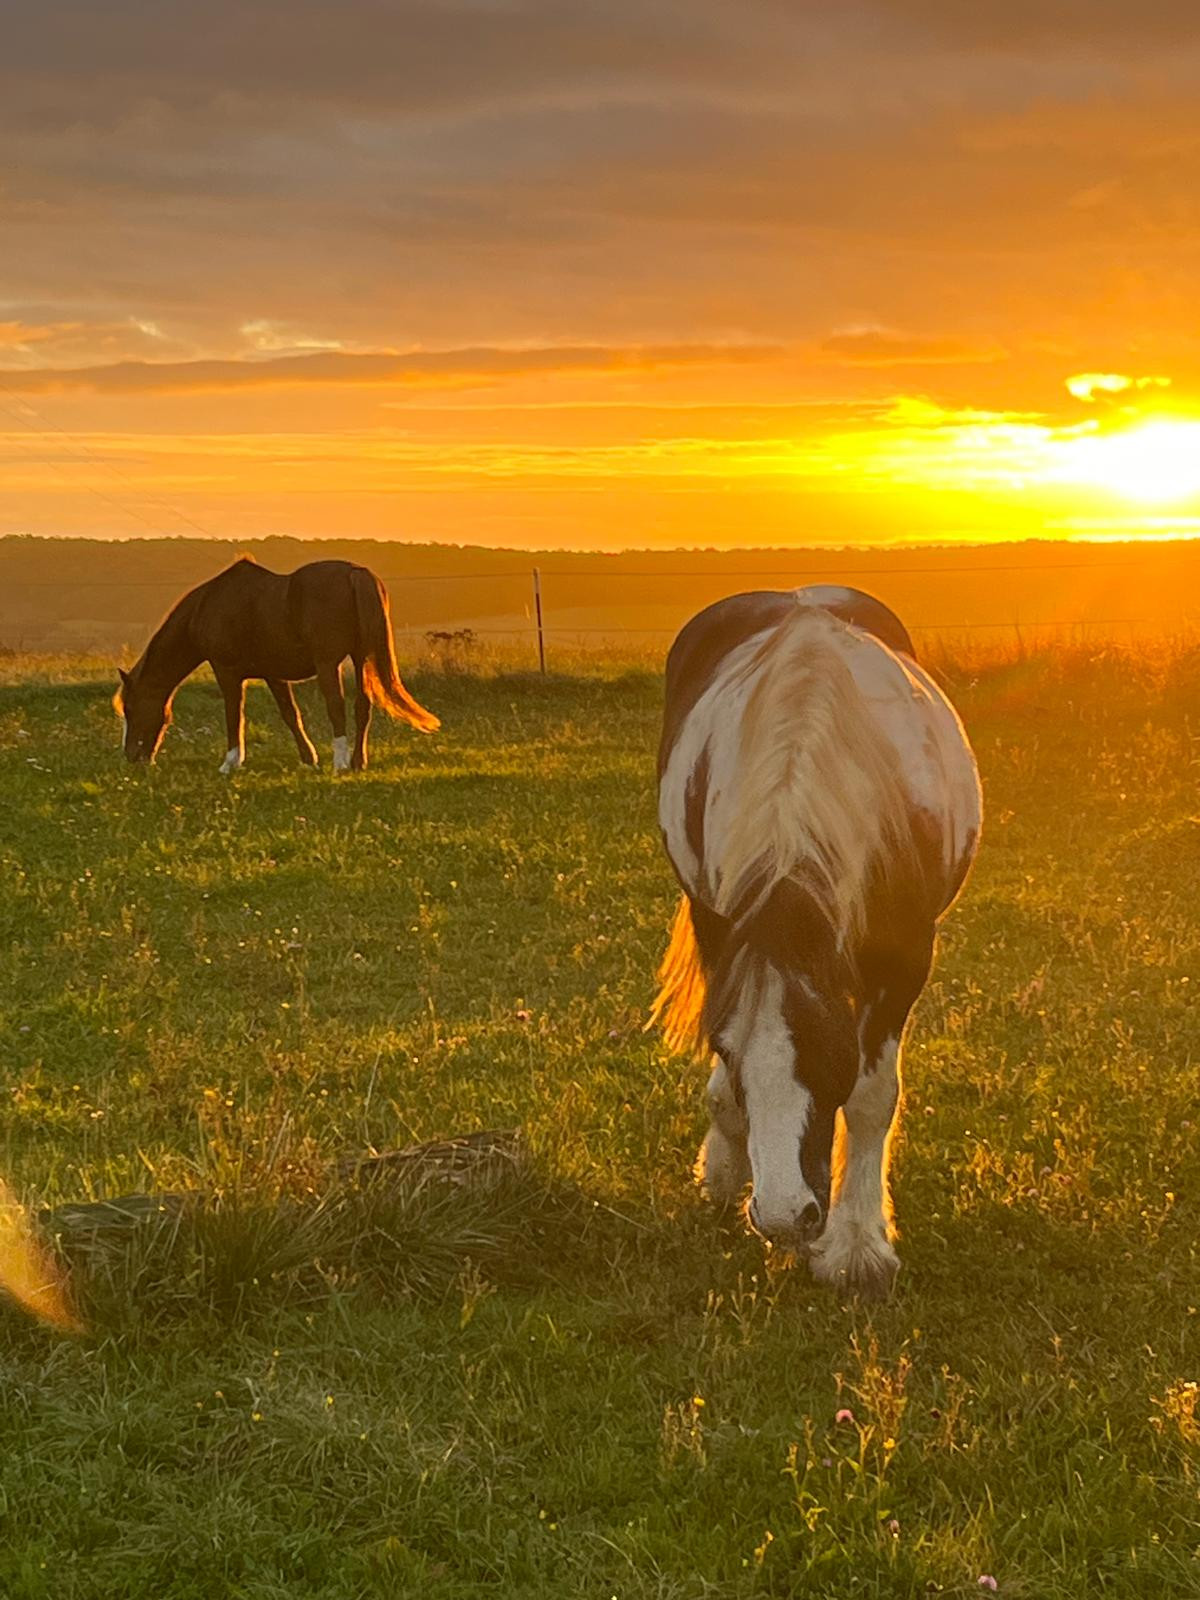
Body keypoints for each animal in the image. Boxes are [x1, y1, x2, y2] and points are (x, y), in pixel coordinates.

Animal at [115, 558, 439, 772]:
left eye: (130, 708)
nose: (131, 756)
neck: (207, 608)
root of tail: (354, 573)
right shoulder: (274, 675)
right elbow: (290, 714)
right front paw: (308, 758)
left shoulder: (227, 671)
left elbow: (234, 714)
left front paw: (230, 763)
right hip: (361, 658)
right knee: (363, 705)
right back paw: (358, 761)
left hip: (328, 664)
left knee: (336, 706)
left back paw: (341, 762)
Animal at [652, 585, 981, 1296]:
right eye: (724, 1046)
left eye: (829, 1041)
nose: (784, 1217)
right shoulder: (725, 931)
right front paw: (725, 1171)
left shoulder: (903, 961)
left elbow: (871, 1099)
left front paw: (857, 1245)